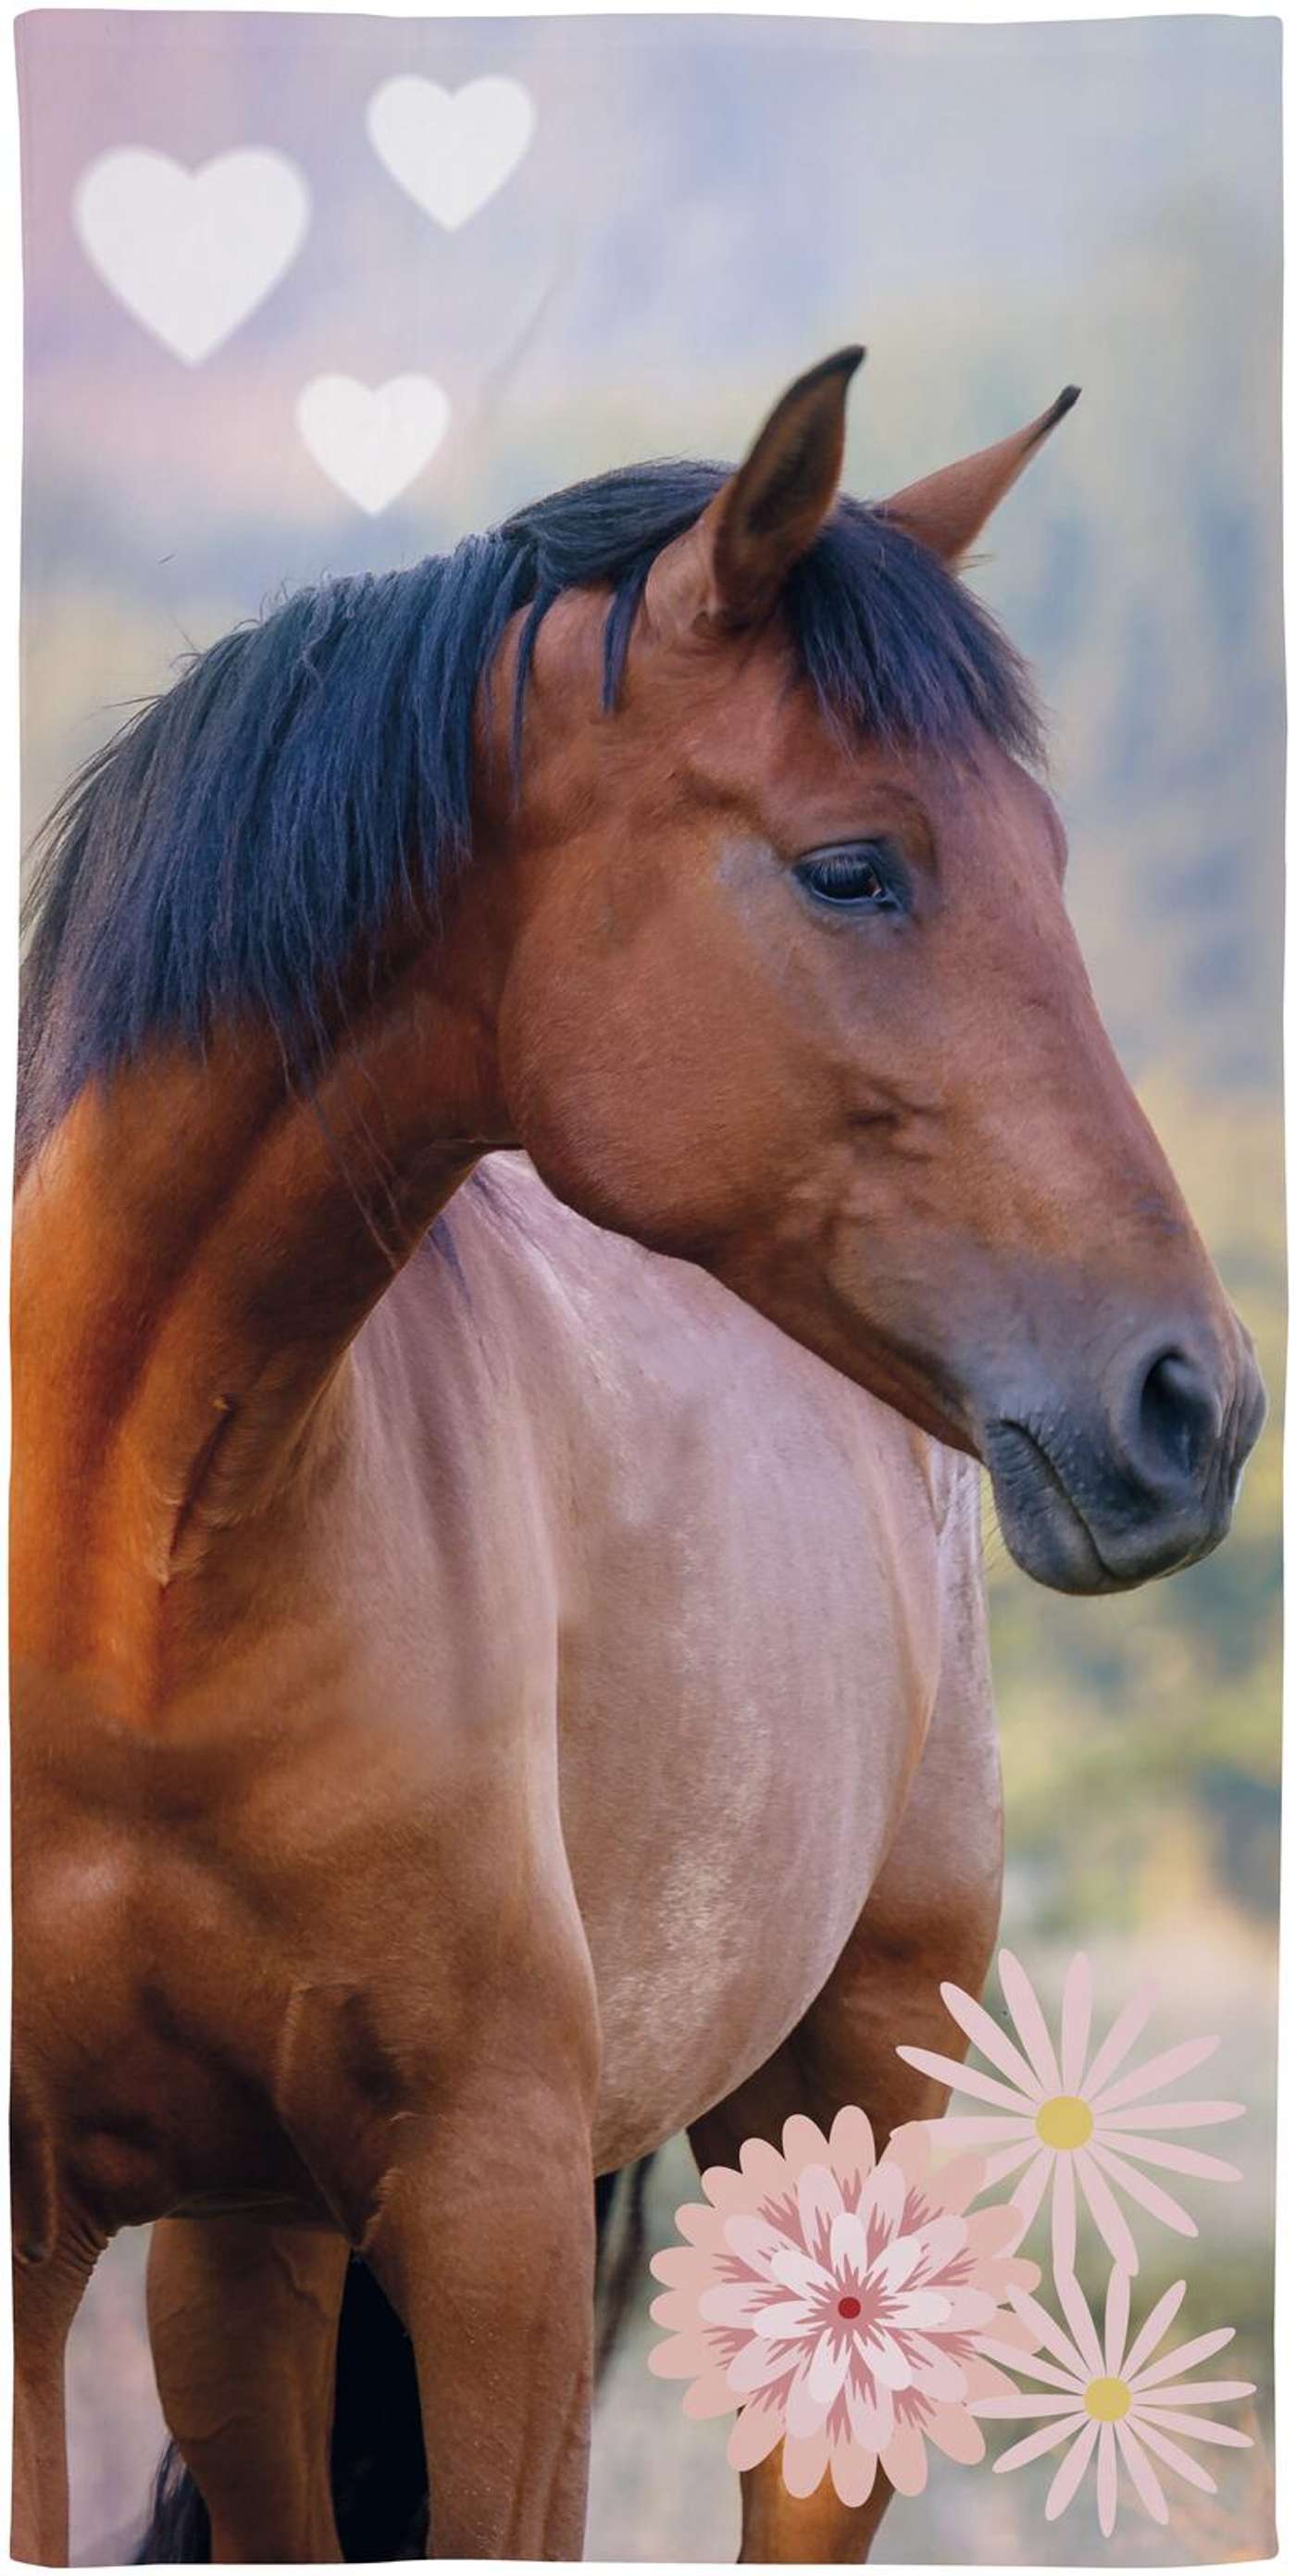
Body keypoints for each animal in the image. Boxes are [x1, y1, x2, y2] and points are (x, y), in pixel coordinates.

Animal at [11, 347, 1263, 2567]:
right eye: (855, 867)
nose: (1188, 1403)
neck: (136, 1579)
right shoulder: (54, 2234)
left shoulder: (492, 2214)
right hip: (249, 2255)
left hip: (839, 2117)